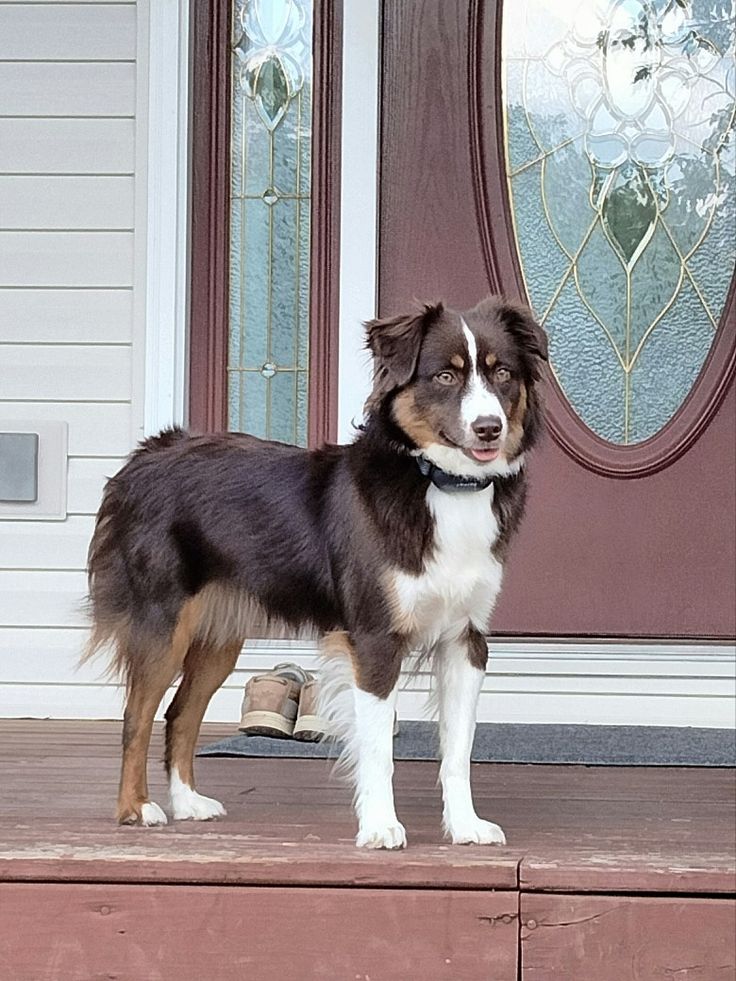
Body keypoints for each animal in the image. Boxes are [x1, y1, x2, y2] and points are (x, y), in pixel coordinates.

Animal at [86, 294, 548, 848]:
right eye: (444, 376)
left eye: (502, 374)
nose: (488, 428)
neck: (441, 484)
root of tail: (147, 453)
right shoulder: (374, 637)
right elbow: (378, 749)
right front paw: (380, 826)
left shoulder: (466, 639)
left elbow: (458, 751)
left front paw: (465, 826)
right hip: (163, 622)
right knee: (136, 716)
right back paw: (135, 808)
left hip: (220, 638)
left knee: (181, 712)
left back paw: (189, 802)